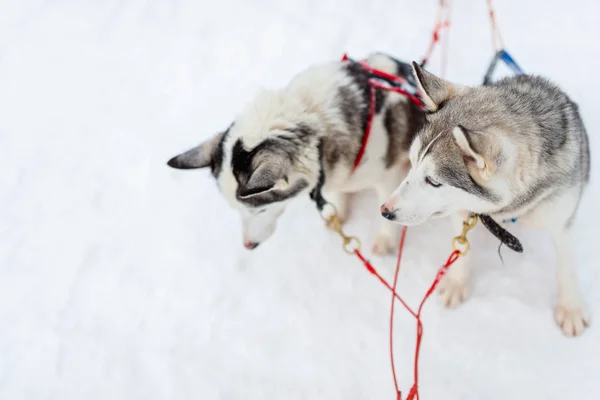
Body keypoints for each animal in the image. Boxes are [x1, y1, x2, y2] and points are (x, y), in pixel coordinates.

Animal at [166, 52, 424, 253]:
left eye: (260, 210)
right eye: (236, 209)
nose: (248, 245)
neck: (315, 119)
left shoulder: (388, 178)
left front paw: (385, 239)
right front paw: (338, 210)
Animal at [380, 62, 592, 336]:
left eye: (434, 181)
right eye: (413, 161)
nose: (385, 210)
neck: (510, 211)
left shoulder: (561, 219)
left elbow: (566, 267)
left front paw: (571, 307)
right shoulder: (463, 212)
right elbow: (461, 248)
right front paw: (458, 282)